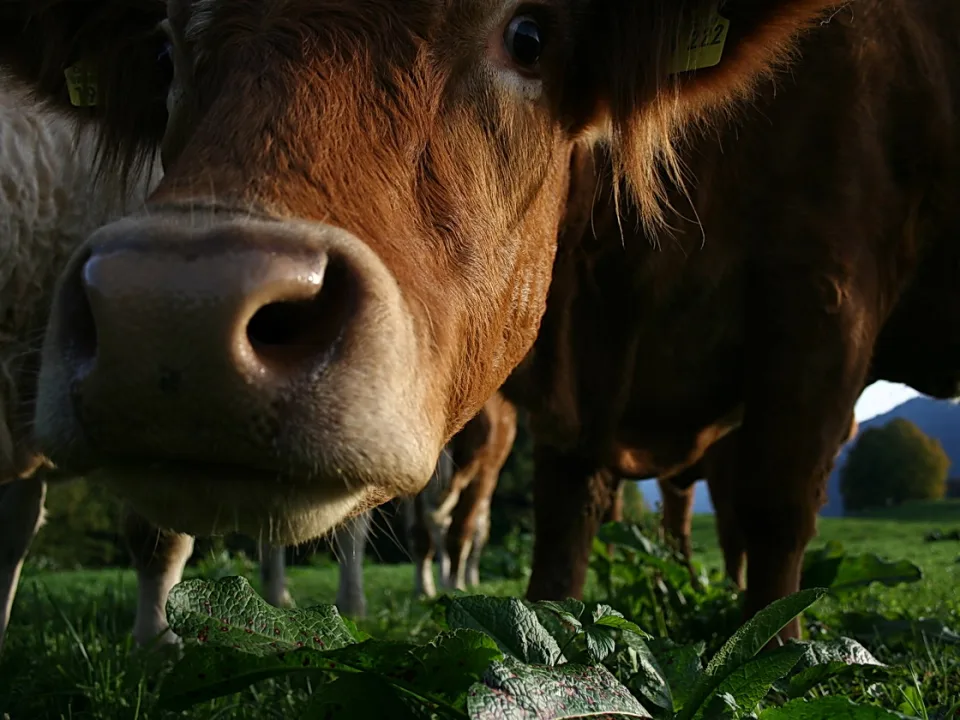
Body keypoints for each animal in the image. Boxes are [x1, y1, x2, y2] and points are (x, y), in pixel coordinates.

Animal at [2, 0, 957, 647]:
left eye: (530, 37)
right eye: (164, 54)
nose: (176, 317)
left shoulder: (823, 297)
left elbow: (775, 509)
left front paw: (773, 644)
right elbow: (563, 531)